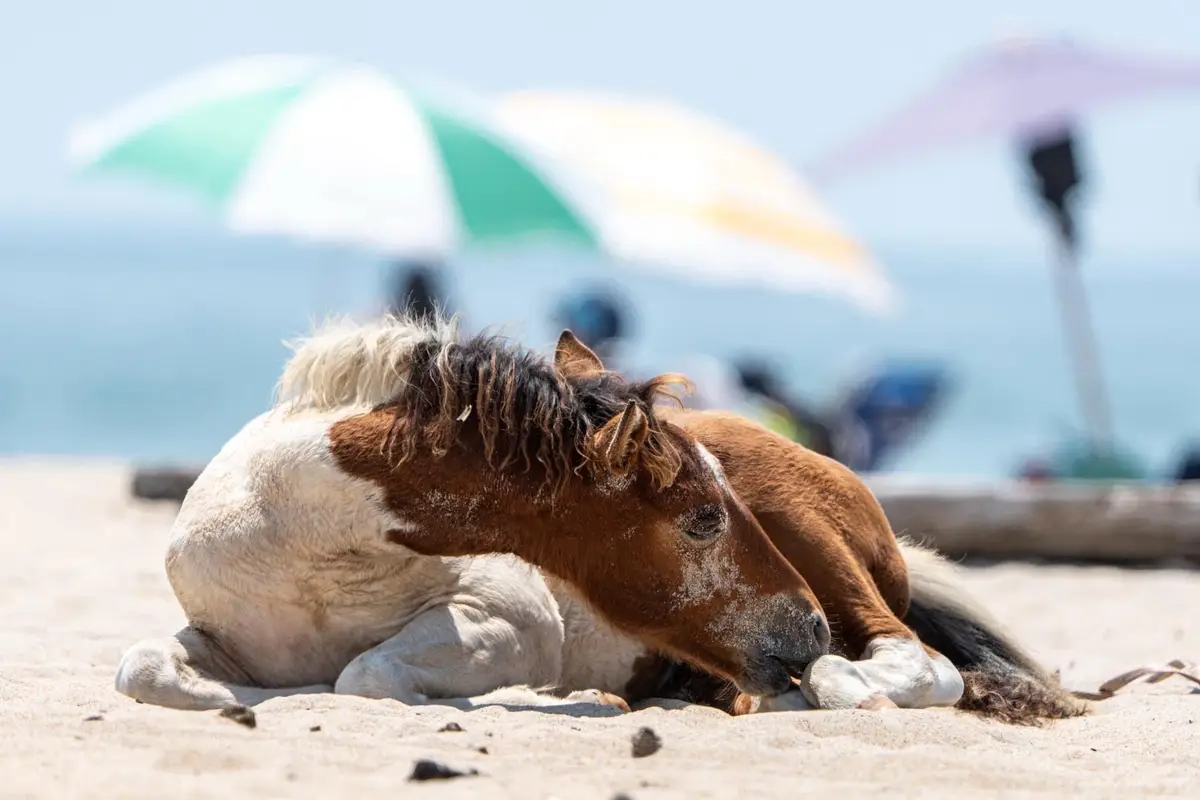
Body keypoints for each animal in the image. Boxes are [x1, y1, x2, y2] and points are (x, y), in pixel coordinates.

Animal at [118, 315, 1082, 724]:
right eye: (702, 519)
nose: (806, 631)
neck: (307, 549)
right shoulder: (216, 631)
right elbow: (141, 668)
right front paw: (222, 698)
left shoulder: (508, 623)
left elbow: (365, 673)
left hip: (824, 551)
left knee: (917, 661)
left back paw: (830, 682)